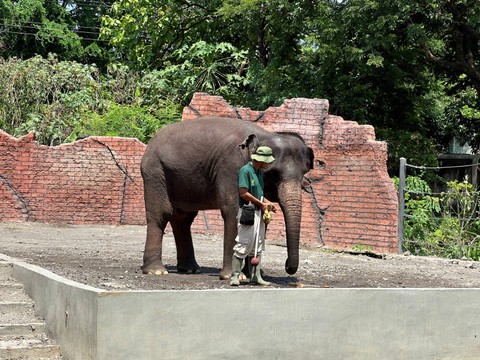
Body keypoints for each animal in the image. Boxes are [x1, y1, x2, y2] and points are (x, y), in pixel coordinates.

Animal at [141, 116, 316, 280]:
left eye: (304, 173)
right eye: (273, 173)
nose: (287, 266)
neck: (263, 135)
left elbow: (257, 215)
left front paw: (254, 274)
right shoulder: (230, 167)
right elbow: (234, 210)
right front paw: (234, 276)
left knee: (183, 218)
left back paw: (190, 269)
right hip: (155, 172)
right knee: (162, 214)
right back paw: (156, 271)